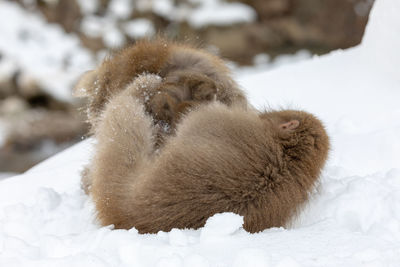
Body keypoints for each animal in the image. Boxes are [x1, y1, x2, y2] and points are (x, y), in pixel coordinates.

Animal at [89, 76, 330, 234]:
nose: (259, 114)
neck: (289, 156)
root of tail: (126, 214)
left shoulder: (218, 120)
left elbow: (189, 115)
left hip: (117, 169)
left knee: (124, 117)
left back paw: (142, 86)